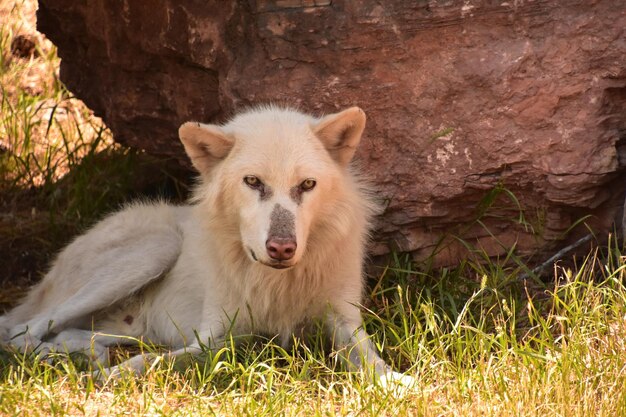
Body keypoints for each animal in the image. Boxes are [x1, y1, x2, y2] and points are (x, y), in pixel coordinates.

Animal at [0, 105, 412, 384]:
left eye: (307, 185)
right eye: (252, 182)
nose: (282, 248)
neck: (278, 284)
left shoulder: (345, 323)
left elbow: (370, 358)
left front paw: (395, 382)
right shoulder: (215, 337)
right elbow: (154, 362)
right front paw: (108, 379)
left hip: (129, 326)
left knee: (64, 333)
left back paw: (89, 354)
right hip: (156, 249)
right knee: (22, 330)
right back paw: (58, 360)